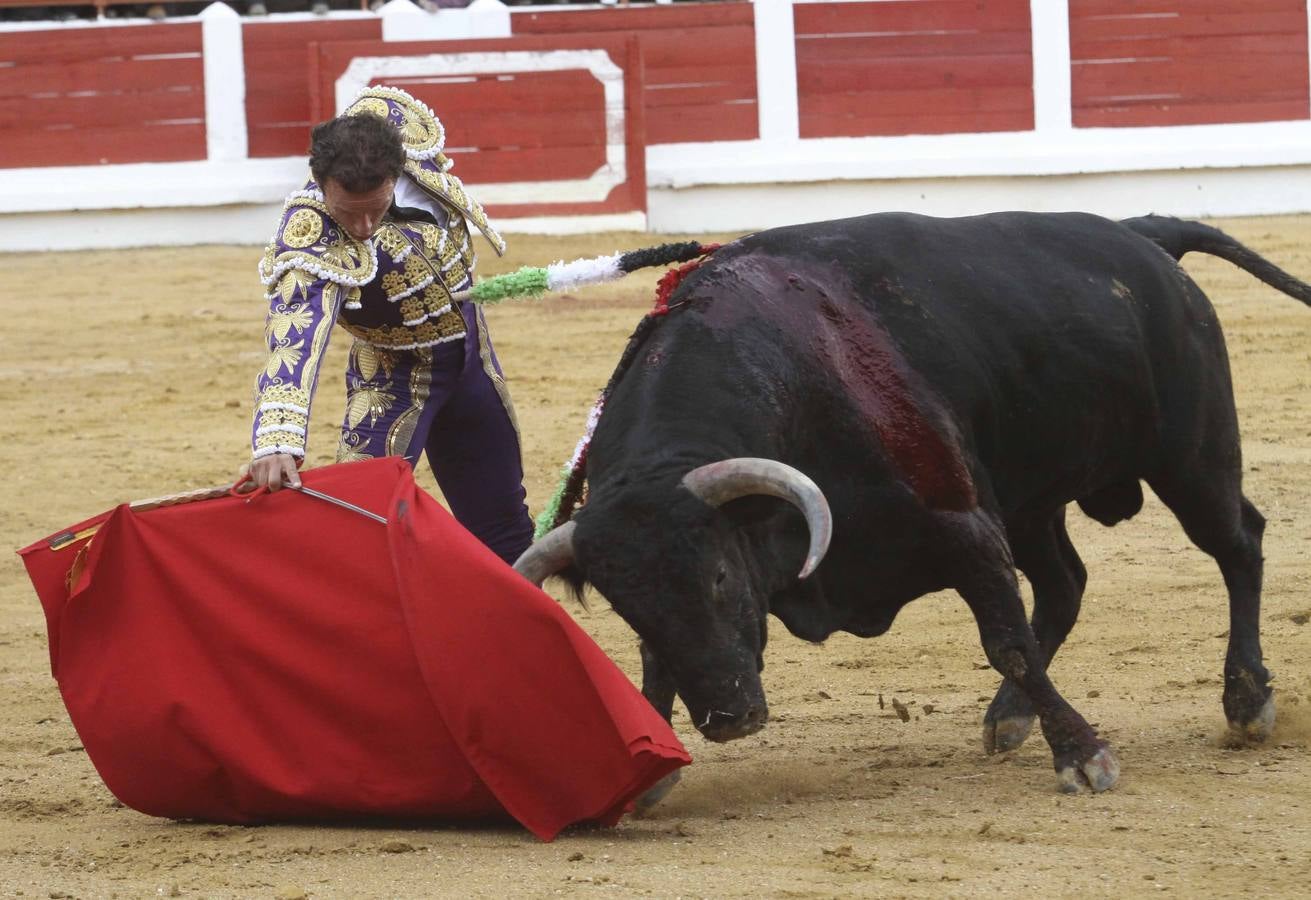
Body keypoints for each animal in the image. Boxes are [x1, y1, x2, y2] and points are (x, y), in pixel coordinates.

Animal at [513, 213, 1311, 797]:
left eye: (717, 576)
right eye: (628, 608)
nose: (728, 717)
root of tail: (1140, 234)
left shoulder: (962, 527)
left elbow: (1006, 642)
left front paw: (1084, 756)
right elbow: (654, 668)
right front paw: (646, 767)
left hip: (1192, 457)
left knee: (1237, 544)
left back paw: (1246, 701)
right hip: (1030, 501)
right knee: (1064, 584)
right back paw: (1009, 718)